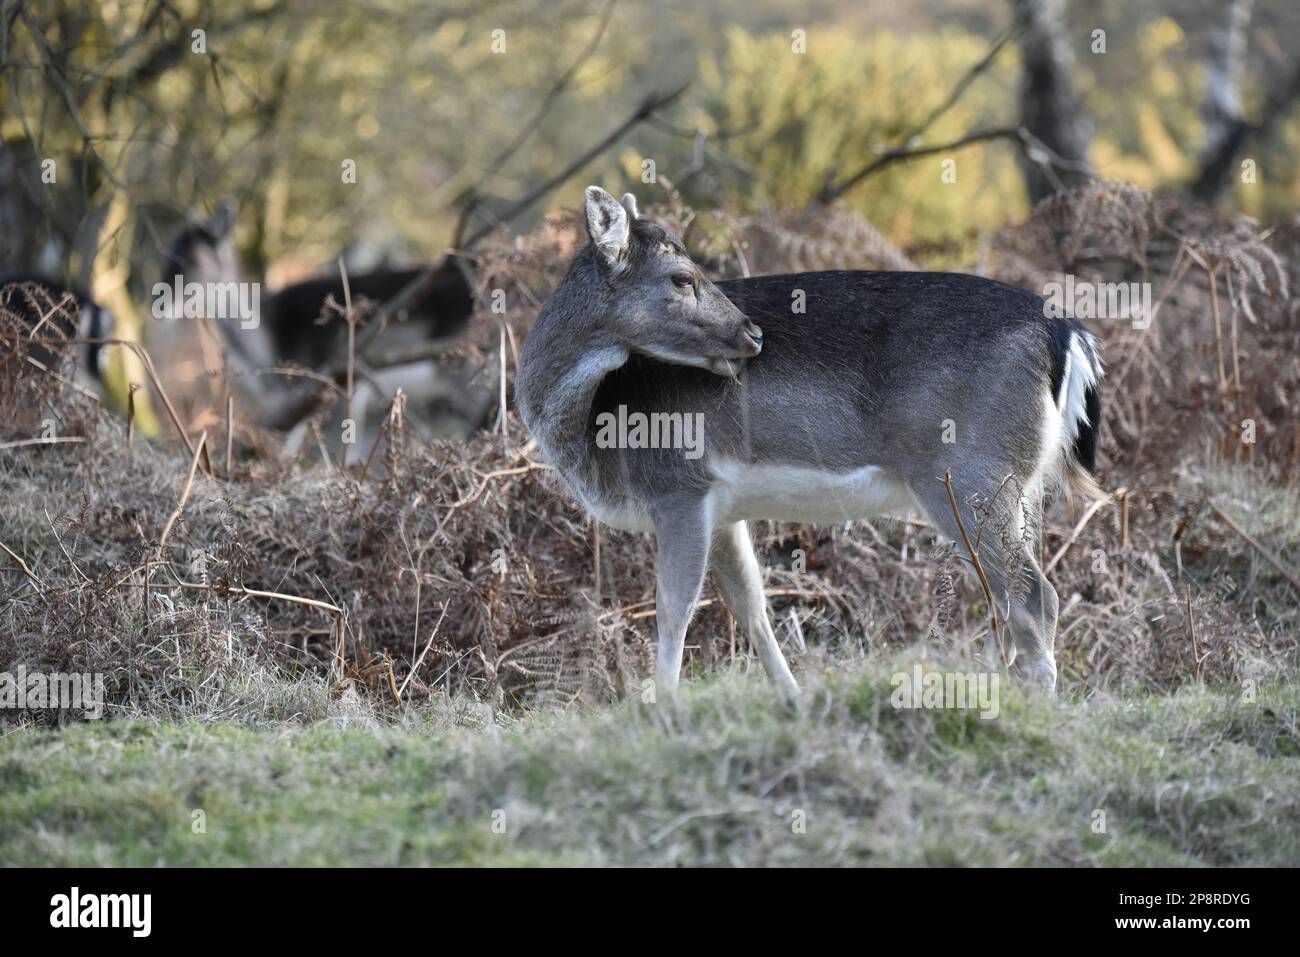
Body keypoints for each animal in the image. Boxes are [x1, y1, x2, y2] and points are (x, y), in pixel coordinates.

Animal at [515, 187, 1104, 704]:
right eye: (681, 277)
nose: (751, 334)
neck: (596, 430)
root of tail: (1070, 337)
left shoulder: (678, 485)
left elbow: (673, 609)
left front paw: (663, 706)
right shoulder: (722, 507)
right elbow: (751, 606)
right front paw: (791, 697)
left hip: (968, 473)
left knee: (1034, 594)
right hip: (1019, 483)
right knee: (1016, 593)